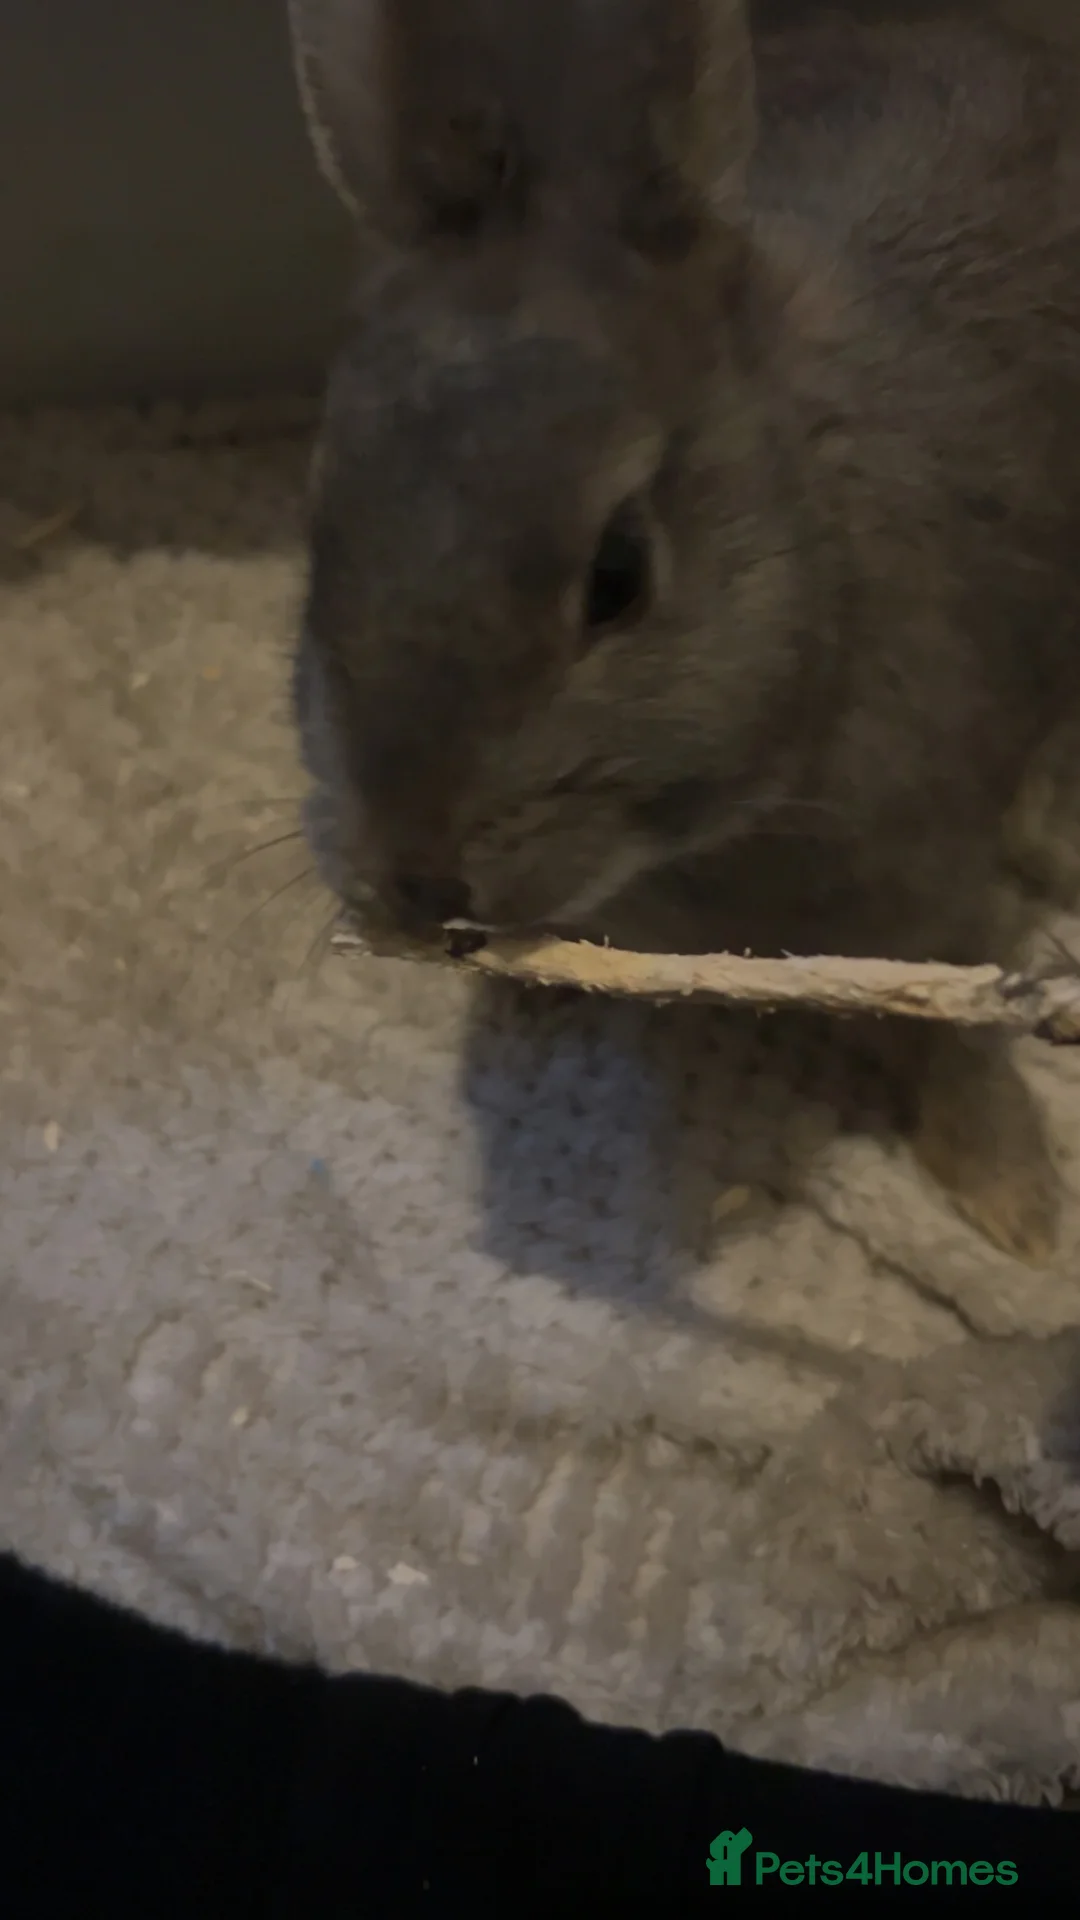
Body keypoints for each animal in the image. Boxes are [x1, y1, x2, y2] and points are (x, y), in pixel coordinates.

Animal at [288, 0, 1080, 1266]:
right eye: (323, 525)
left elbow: (957, 1041)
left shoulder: (936, 907)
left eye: (619, 574)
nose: (408, 883)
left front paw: (1015, 1211)